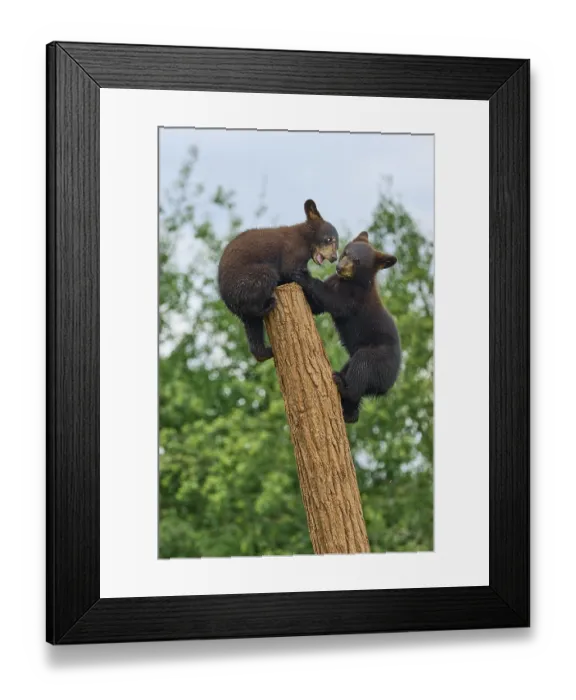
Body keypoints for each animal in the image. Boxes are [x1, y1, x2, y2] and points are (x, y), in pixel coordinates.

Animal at [217, 199, 339, 362]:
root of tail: (226, 298)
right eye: (329, 239)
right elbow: (291, 271)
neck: (305, 239)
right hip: (248, 278)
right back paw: (268, 304)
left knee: (253, 328)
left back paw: (266, 351)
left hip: (243, 310)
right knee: (264, 282)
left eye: (336, 243)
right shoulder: (292, 251)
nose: (334, 257)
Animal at [293, 231, 401, 423]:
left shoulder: (355, 298)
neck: (350, 281)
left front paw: (304, 276)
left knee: (361, 367)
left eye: (357, 261)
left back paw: (343, 387)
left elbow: (335, 301)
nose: (339, 267)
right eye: (345, 252)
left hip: (377, 358)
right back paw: (349, 412)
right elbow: (316, 306)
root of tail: (389, 385)